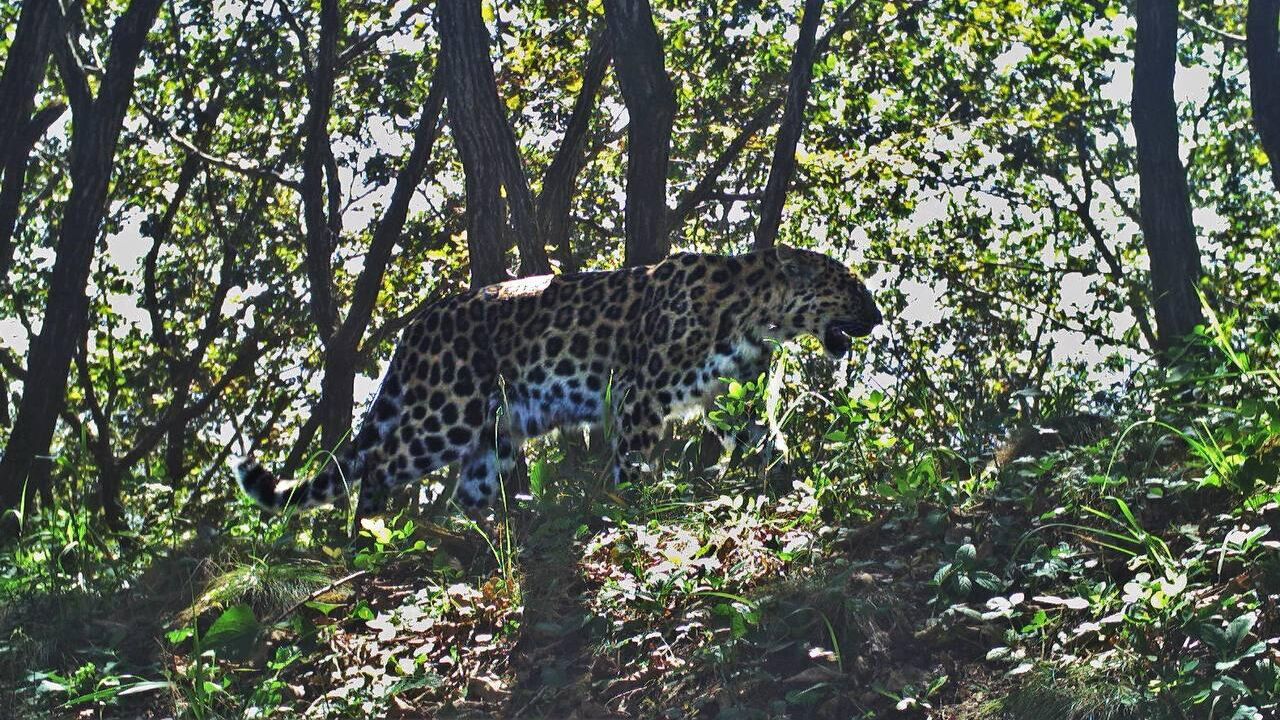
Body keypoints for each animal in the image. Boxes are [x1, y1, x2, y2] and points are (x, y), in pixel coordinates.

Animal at [232, 244, 880, 509]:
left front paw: (797, 479)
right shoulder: (639, 394)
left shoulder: (728, 399)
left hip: (494, 431)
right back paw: (370, 530)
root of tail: (414, 328)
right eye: (852, 287)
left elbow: (766, 439)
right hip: (445, 412)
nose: (876, 319)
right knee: (380, 467)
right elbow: (632, 459)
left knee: (467, 488)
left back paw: (487, 528)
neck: (754, 316)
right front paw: (629, 503)